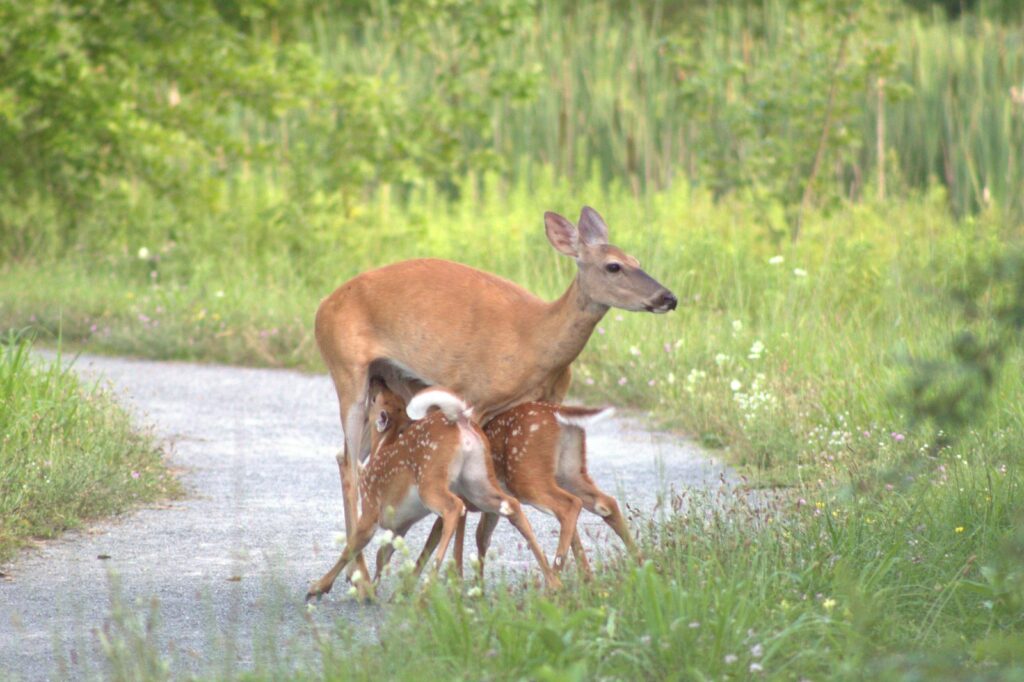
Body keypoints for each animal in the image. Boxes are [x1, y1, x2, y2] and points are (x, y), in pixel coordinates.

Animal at [306, 382, 560, 601]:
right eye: (393, 396)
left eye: (377, 398)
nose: (377, 380)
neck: (381, 448)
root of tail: (461, 423)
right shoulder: (400, 525)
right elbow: (382, 556)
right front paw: (374, 591)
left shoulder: (370, 507)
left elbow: (350, 547)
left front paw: (320, 587)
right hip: (477, 481)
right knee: (511, 505)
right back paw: (553, 581)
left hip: (431, 480)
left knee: (453, 507)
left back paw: (429, 585)